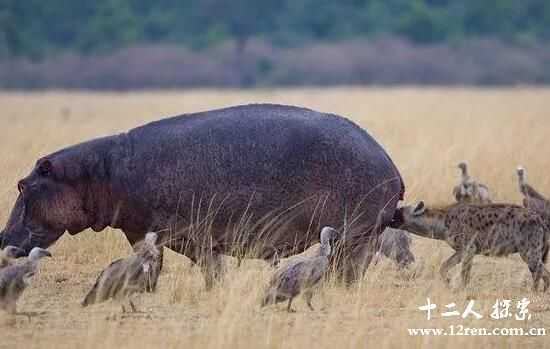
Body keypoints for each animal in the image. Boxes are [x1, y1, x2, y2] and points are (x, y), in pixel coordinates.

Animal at [0, 102, 406, 286]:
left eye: (22, 185)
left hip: (355, 234)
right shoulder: (146, 232)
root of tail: (390, 162)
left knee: (350, 268)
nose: (3, 236)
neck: (96, 173)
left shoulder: (168, 233)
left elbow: (169, 265)